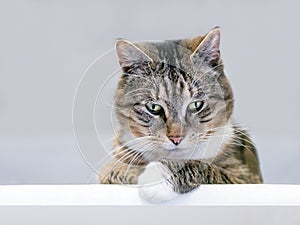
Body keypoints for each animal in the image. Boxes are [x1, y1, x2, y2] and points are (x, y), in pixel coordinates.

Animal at [99, 27, 262, 203]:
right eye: (153, 107)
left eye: (196, 105)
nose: (176, 138)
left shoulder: (245, 178)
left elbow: (204, 167)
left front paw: (156, 177)